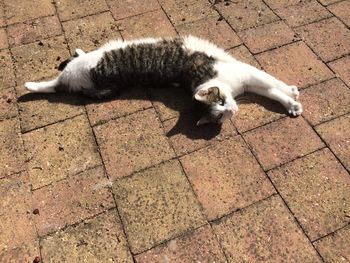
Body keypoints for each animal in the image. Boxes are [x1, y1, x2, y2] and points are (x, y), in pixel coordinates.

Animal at [25, 35, 304, 126]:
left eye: (222, 105)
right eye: (220, 114)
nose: (232, 111)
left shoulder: (246, 77)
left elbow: (271, 88)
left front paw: (289, 98)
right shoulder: (245, 74)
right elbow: (271, 85)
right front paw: (291, 99)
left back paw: (77, 50)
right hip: (83, 69)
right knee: (57, 79)